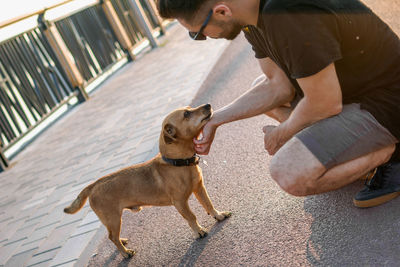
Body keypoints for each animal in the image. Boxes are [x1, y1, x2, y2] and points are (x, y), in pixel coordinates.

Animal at [63, 104, 230, 260]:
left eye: (189, 108)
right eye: (186, 114)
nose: (208, 105)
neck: (178, 163)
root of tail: (93, 185)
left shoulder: (199, 188)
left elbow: (208, 204)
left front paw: (218, 215)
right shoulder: (180, 202)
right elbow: (191, 217)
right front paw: (199, 231)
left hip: (112, 221)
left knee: (113, 236)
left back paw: (123, 242)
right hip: (113, 218)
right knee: (112, 237)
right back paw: (125, 253)